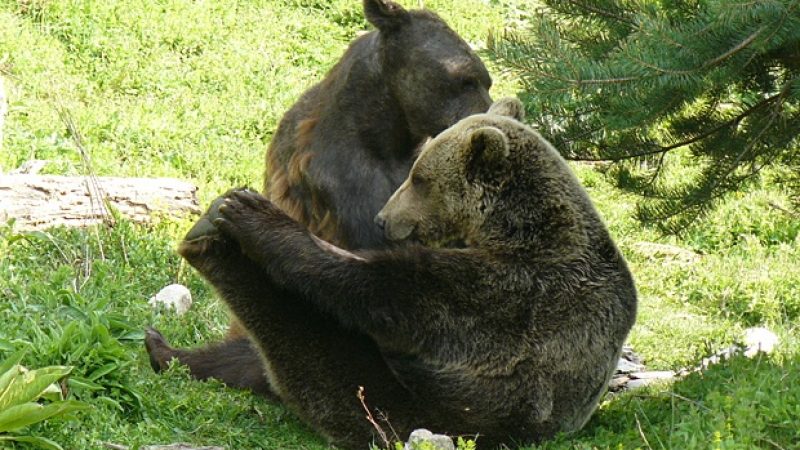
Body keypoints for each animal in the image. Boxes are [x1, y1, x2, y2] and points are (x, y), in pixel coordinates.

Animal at [167, 99, 636, 450]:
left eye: (419, 177)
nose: (382, 218)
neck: (516, 228)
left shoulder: (519, 294)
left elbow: (388, 291)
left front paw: (260, 219)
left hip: (428, 410)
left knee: (315, 351)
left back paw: (214, 240)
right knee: (248, 358)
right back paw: (168, 348)